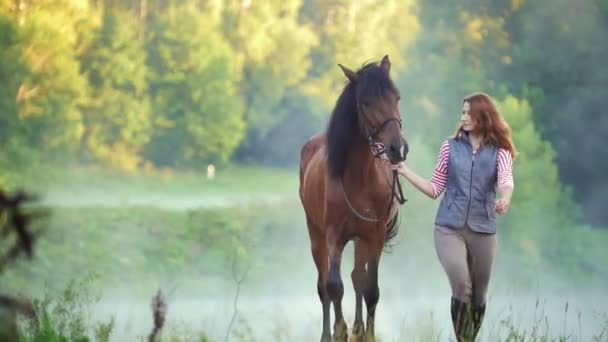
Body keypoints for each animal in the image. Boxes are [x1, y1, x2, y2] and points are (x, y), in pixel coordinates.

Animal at [300, 56, 408, 342]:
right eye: (366, 102)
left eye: (397, 97)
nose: (398, 149)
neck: (359, 177)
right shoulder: (334, 236)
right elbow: (333, 286)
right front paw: (339, 331)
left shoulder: (374, 235)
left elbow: (370, 288)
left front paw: (366, 334)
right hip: (316, 235)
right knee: (324, 285)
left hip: (361, 239)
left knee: (357, 276)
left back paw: (358, 328)